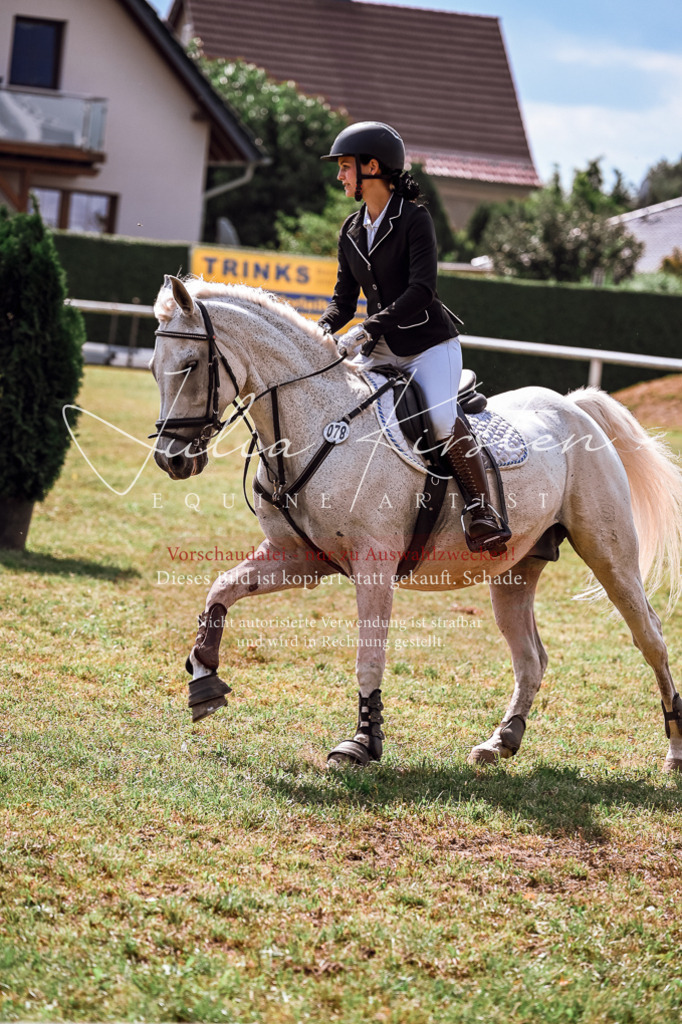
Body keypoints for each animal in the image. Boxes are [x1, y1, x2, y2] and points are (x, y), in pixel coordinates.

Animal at [150, 275, 682, 772]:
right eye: (155, 369)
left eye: (191, 365)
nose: (170, 460)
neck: (318, 423)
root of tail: (573, 407)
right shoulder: (299, 558)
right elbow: (221, 588)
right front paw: (204, 678)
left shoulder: (374, 566)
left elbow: (369, 658)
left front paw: (362, 743)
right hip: (515, 569)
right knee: (531, 657)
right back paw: (501, 740)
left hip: (609, 555)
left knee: (651, 638)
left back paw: (674, 749)